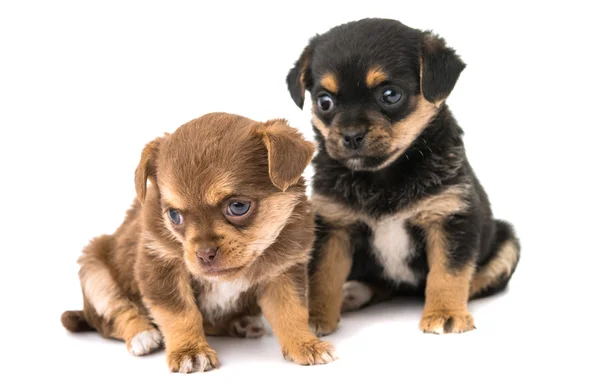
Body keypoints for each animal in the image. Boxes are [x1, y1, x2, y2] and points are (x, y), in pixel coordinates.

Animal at [61, 111, 338, 370]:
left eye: (238, 206)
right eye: (174, 215)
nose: (204, 254)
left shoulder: (283, 272)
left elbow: (291, 311)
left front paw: (306, 344)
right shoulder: (160, 266)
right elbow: (180, 314)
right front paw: (190, 352)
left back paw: (242, 323)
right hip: (94, 270)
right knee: (111, 317)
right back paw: (142, 335)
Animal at [286, 18, 520, 334]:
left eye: (390, 95)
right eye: (324, 102)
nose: (351, 135)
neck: (382, 177)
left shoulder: (450, 218)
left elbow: (449, 272)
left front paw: (445, 313)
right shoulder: (334, 225)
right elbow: (323, 275)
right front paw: (315, 318)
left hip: (508, 241)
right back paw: (352, 293)